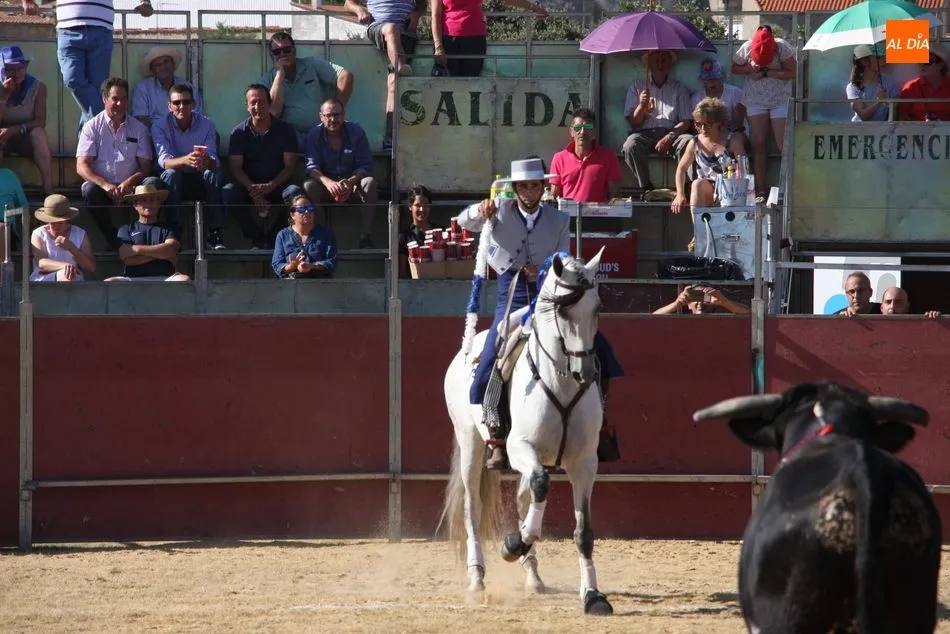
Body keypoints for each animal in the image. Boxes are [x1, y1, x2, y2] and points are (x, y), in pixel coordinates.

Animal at [440, 249, 614, 615]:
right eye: (563, 309)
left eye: (598, 306)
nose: (585, 372)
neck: (560, 381)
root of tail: (466, 349)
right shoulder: (519, 447)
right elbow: (540, 485)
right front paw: (511, 544)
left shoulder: (584, 464)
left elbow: (583, 532)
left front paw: (593, 596)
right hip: (471, 444)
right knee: (473, 508)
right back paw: (477, 578)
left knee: (525, 497)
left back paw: (533, 575)